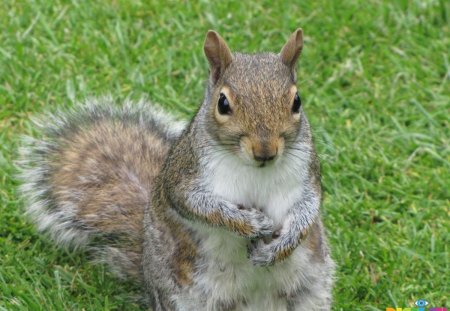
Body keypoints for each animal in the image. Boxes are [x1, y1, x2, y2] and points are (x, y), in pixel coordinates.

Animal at [18, 28, 334, 310]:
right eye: (222, 103)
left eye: (296, 101)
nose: (265, 151)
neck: (254, 168)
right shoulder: (183, 175)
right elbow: (201, 206)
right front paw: (249, 223)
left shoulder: (308, 175)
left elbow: (308, 209)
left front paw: (282, 245)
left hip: (311, 293)